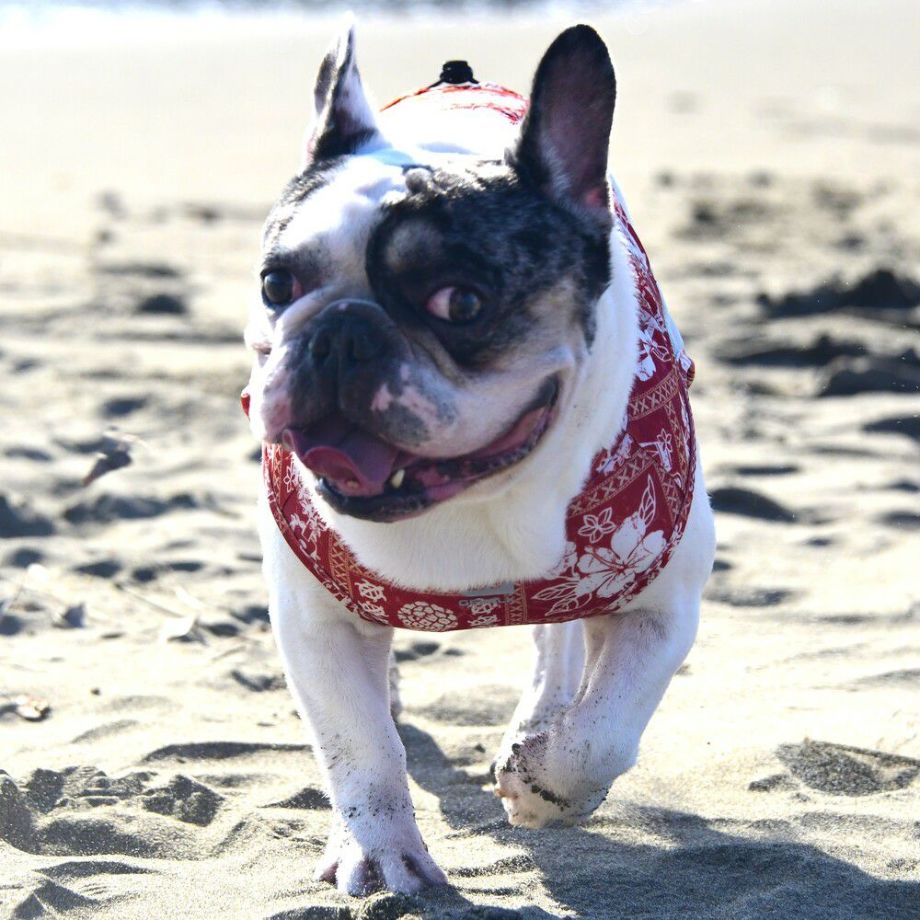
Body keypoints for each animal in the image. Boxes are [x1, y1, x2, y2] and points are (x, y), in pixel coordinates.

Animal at [243, 22, 715, 896]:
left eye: (461, 301)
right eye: (275, 283)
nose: (341, 330)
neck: (471, 500)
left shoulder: (660, 603)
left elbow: (605, 733)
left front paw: (544, 784)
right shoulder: (313, 620)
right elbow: (357, 746)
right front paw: (378, 848)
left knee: (557, 650)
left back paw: (537, 725)